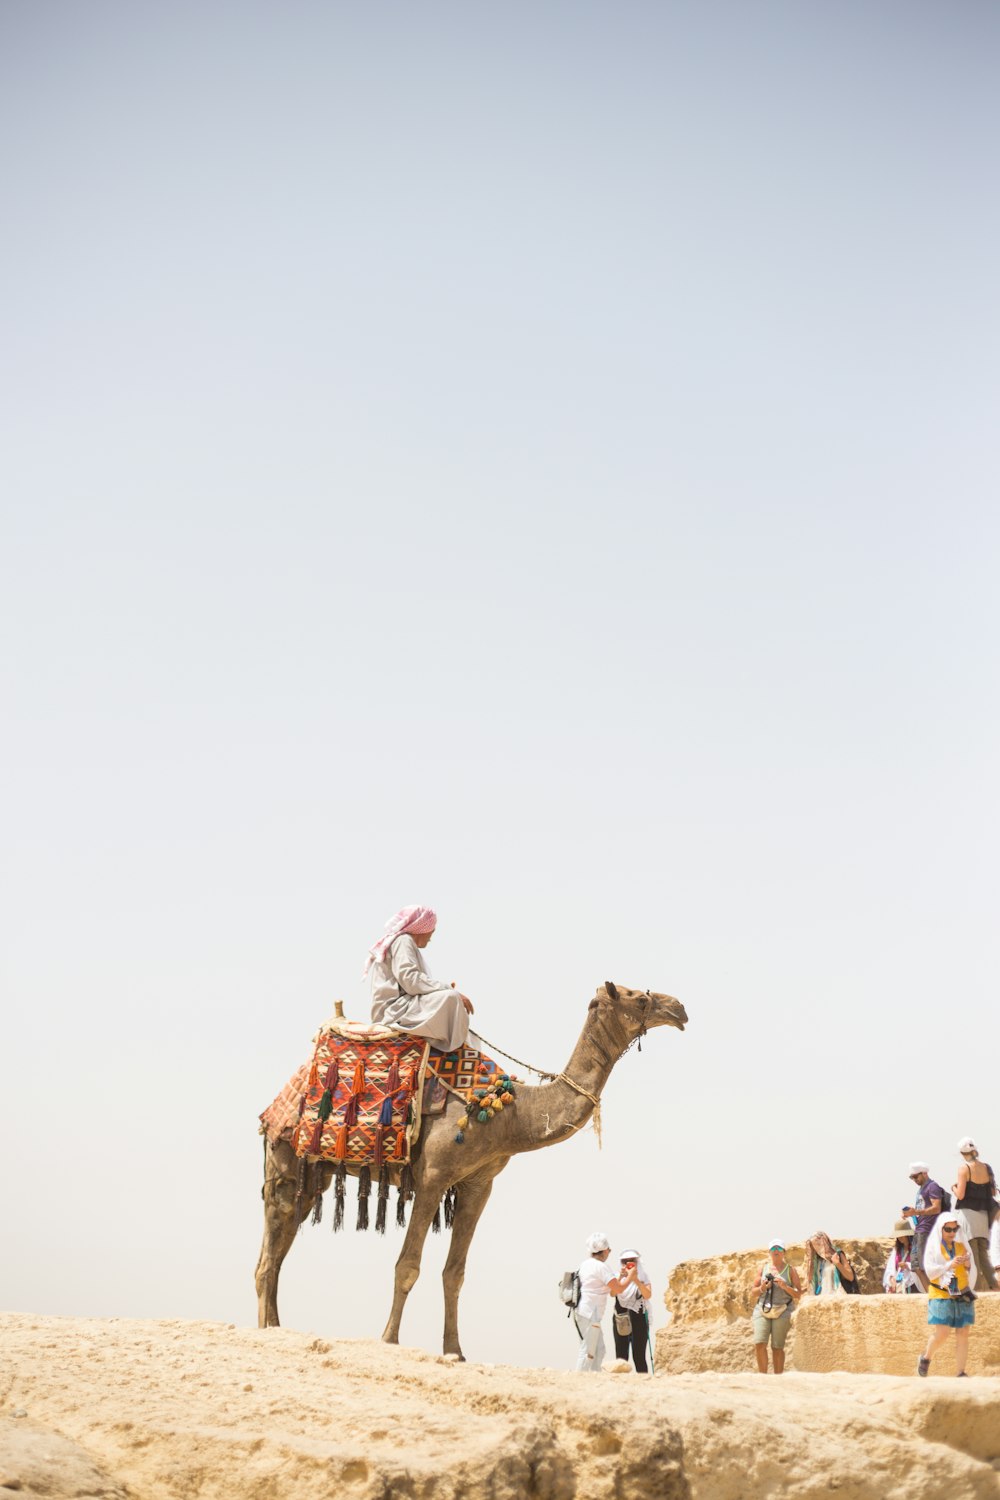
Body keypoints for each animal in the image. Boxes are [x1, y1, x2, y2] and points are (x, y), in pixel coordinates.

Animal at [256, 978, 689, 1356]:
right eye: (639, 998)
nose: (679, 1008)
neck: (509, 1115)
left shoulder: (479, 1184)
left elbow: (455, 1273)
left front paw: (455, 1350)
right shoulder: (433, 1177)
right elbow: (407, 1265)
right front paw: (390, 1339)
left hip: (316, 1172)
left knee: (280, 1245)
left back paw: (274, 1327)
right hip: (285, 1156)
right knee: (270, 1251)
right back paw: (265, 1328)